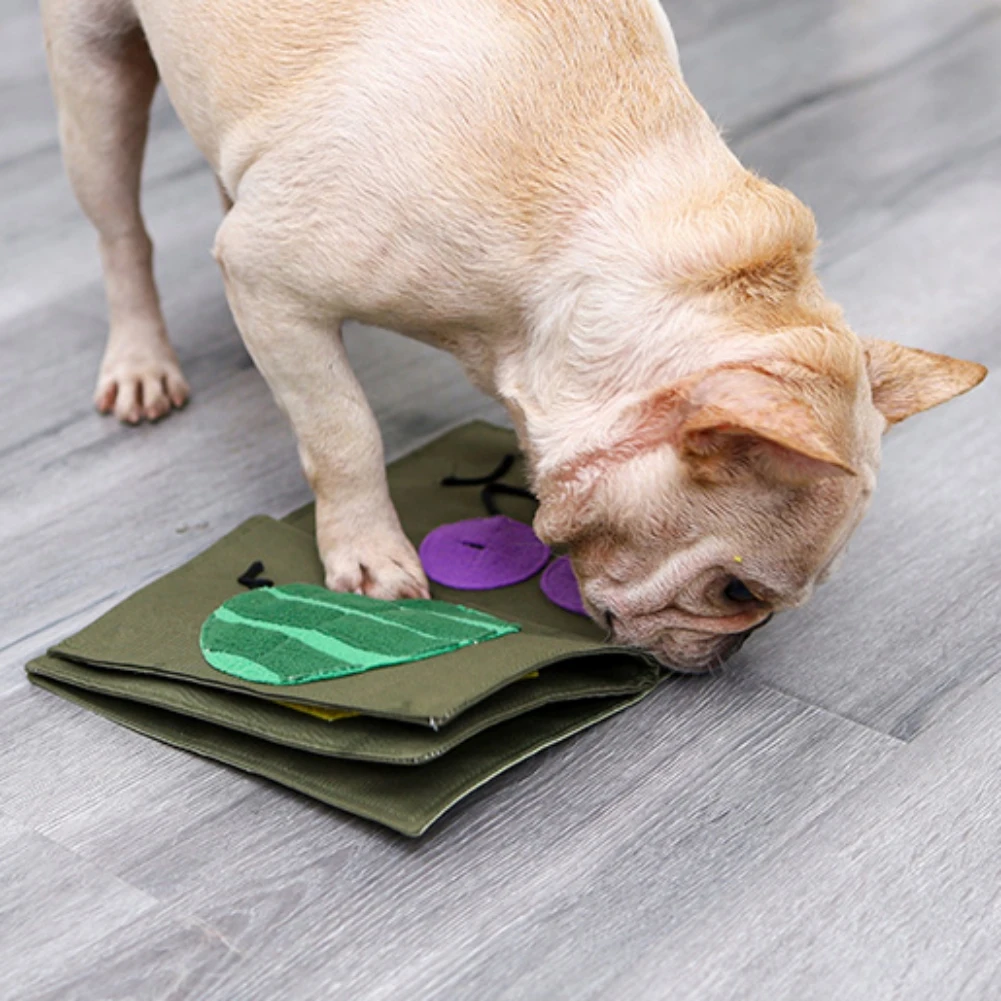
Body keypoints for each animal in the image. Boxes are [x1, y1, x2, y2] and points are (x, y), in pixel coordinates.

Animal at [41, 1, 984, 672]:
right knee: (120, 230)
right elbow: (343, 432)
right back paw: (141, 362)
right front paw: (366, 552)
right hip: (93, 72)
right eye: (732, 591)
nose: (735, 652)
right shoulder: (273, 275)